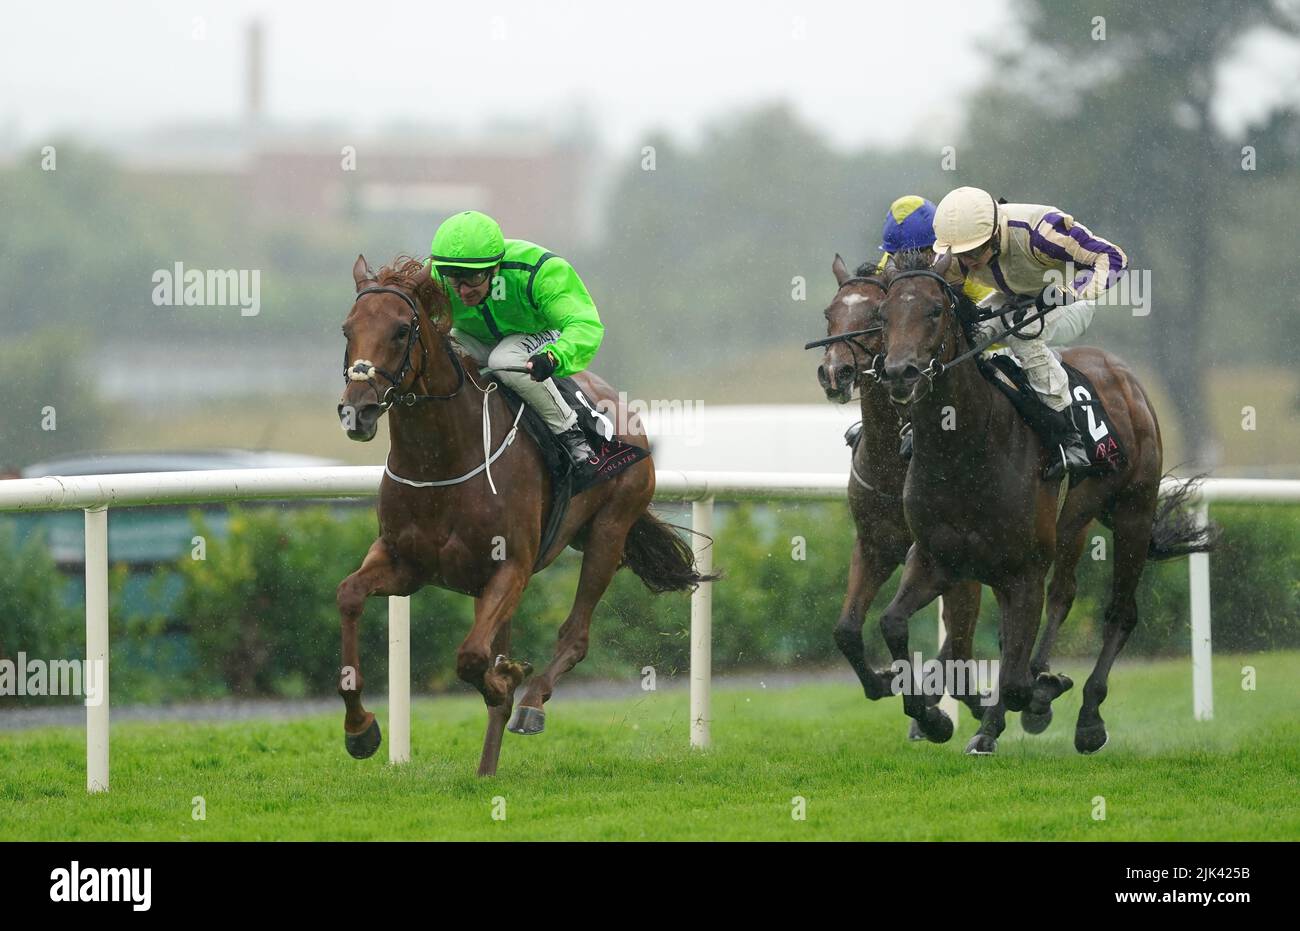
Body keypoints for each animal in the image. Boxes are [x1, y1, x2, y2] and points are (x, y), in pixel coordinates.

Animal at [335, 254, 712, 780]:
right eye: (347, 329)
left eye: (401, 330)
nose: (358, 410)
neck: (442, 458)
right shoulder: (405, 564)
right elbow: (349, 595)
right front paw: (360, 729)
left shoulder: (512, 566)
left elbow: (472, 657)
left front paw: (507, 679)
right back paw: (486, 766)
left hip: (609, 530)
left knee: (575, 635)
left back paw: (531, 703)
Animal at [811, 250, 982, 738]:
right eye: (830, 314)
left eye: (874, 317)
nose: (834, 372)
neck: (894, 459)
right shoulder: (874, 544)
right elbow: (846, 630)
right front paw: (885, 682)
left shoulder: (944, 554)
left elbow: (956, 636)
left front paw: (930, 709)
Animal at [868, 250, 1211, 754]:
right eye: (883, 314)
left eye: (934, 311)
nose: (899, 374)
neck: (965, 449)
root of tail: (1123, 375)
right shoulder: (936, 558)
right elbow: (893, 623)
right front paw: (932, 719)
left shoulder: (1023, 569)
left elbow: (1012, 678)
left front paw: (1018, 709)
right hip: (1074, 524)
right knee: (1062, 596)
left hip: (1134, 512)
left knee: (1120, 613)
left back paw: (1088, 717)